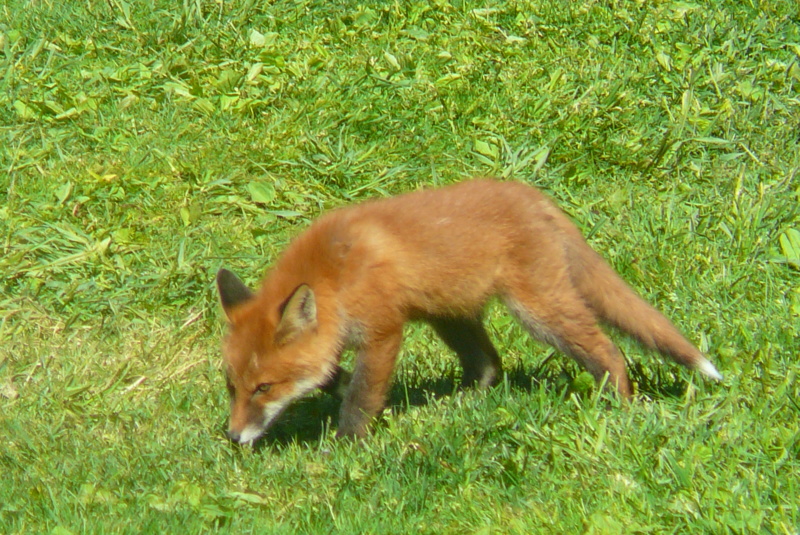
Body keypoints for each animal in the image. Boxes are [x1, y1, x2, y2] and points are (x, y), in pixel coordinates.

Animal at [216, 180, 720, 444]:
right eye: (233, 387)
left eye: (264, 388)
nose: (233, 437)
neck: (333, 274)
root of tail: (534, 195)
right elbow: (331, 378)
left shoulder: (382, 332)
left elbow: (360, 397)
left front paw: (344, 448)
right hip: (450, 315)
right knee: (489, 366)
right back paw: (464, 402)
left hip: (540, 312)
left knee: (609, 349)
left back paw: (618, 405)